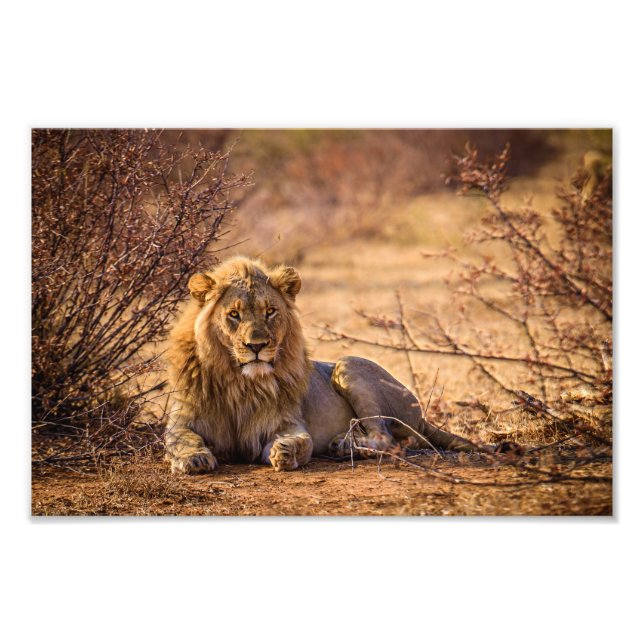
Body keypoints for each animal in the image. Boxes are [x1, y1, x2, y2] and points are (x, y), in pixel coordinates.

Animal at [165, 256, 480, 474]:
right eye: (233, 314)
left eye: (270, 311)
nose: (257, 346)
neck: (239, 381)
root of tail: (421, 414)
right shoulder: (182, 419)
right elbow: (181, 439)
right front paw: (194, 458)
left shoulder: (286, 423)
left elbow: (301, 441)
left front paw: (285, 453)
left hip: (347, 365)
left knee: (388, 439)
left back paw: (346, 446)